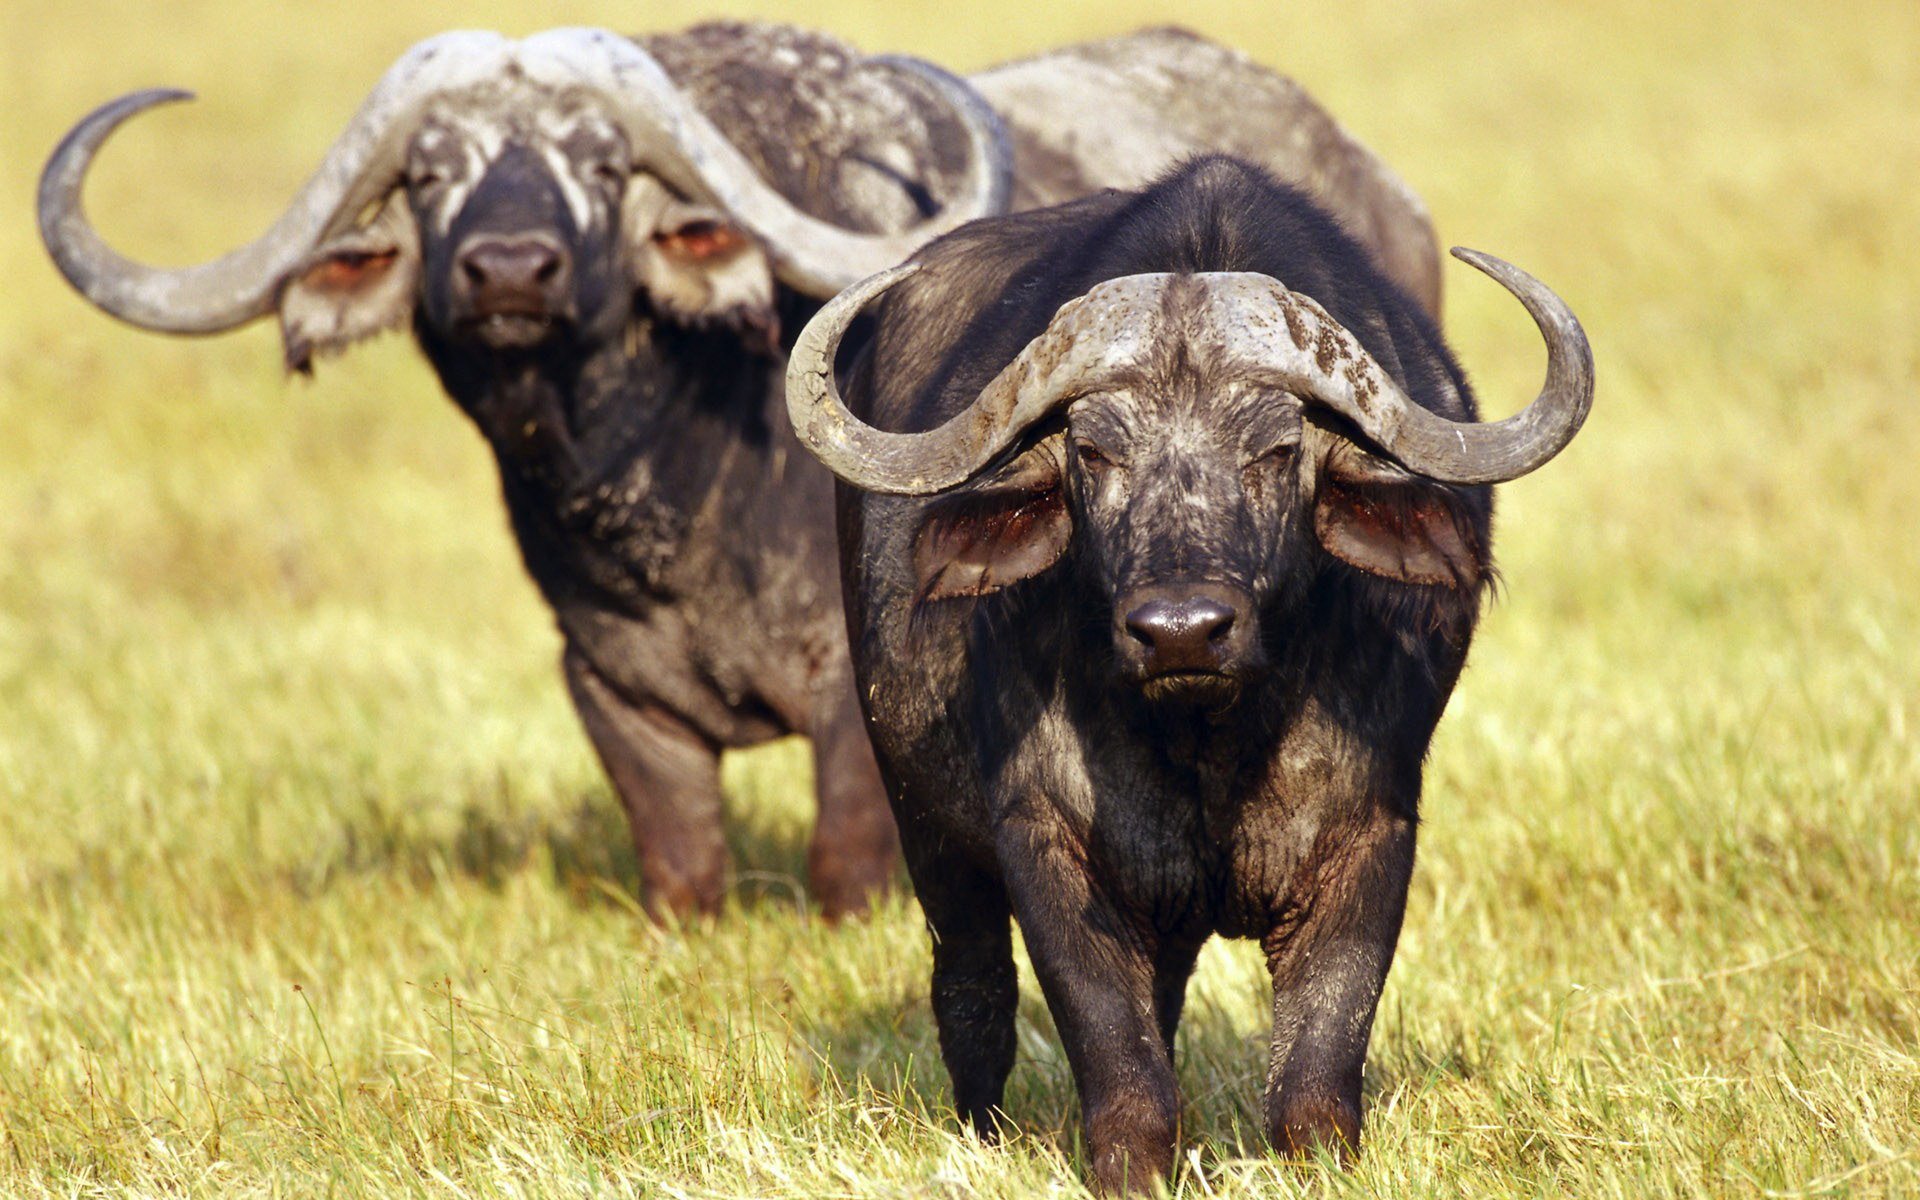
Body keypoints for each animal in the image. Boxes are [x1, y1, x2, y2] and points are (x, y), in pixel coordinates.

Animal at [40, 23, 1441, 919]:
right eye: (431, 173)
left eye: (603, 164)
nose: (508, 270)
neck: (673, 497)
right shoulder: (614, 694)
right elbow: (684, 874)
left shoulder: (856, 705)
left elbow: (846, 874)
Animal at [787, 156, 1592, 1188]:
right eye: (1093, 451)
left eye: (1277, 449)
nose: (1181, 633)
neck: (1212, 739)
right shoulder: (1044, 841)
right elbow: (1119, 1065)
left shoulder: (1372, 836)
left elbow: (1316, 1073)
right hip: (924, 824)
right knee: (972, 991)